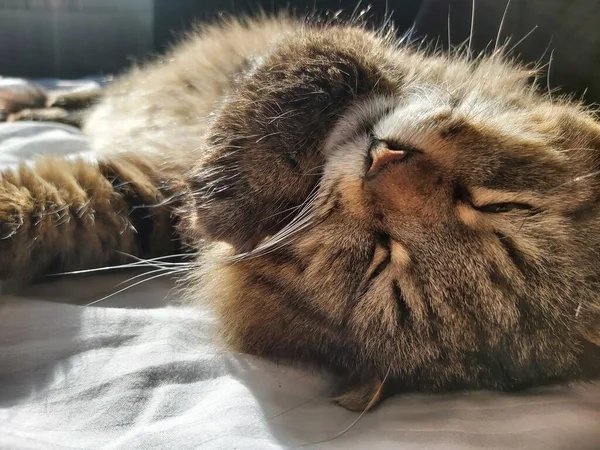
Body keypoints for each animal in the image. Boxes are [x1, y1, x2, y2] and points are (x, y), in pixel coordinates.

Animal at [1, 14, 600, 412]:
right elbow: (322, 59)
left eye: (381, 257)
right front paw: (234, 171)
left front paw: (221, 195)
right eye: (492, 205)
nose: (382, 160)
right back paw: (27, 103)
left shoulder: (146, 205)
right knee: (85, 96)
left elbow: (61, 211)